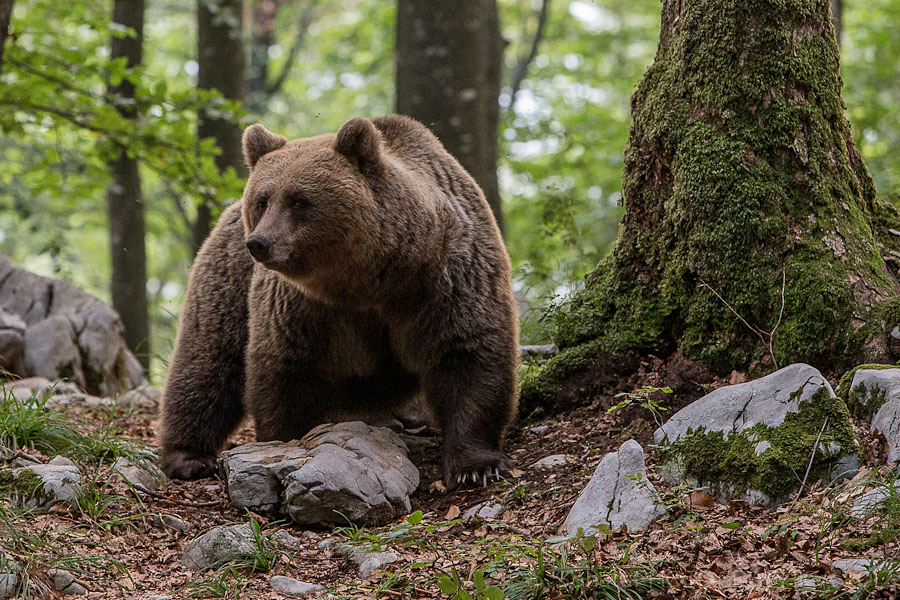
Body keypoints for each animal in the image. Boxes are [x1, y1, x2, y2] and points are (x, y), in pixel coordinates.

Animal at [158, 116, 516, 488]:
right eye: (262, 200)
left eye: (299, 200)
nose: (259, 242)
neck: (368, 280)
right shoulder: (302, 306)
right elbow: (284, 371)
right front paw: (285, 441)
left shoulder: (447, 276)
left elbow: (467, 352)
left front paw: (474, 466)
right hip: (228, 278)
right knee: (207, 362)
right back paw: (190, 458)